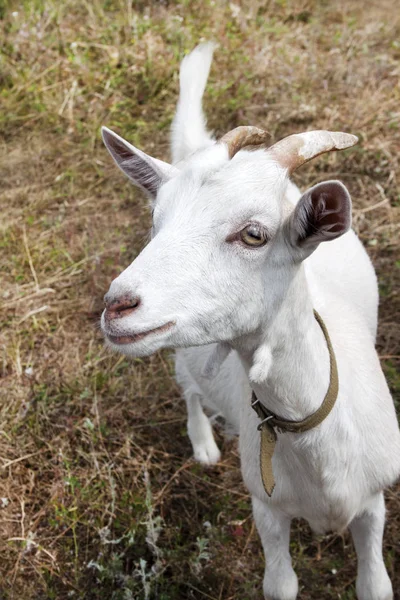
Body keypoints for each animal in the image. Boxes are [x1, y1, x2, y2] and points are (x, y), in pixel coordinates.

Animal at [101, 43, 400, 600]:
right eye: (155, 222)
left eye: (254, 234)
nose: (117, 306)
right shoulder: (267, 509)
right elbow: (279, 584)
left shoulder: (373, 503)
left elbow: (375, 584)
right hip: (182, 356)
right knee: (189, 389)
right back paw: (202, 443)